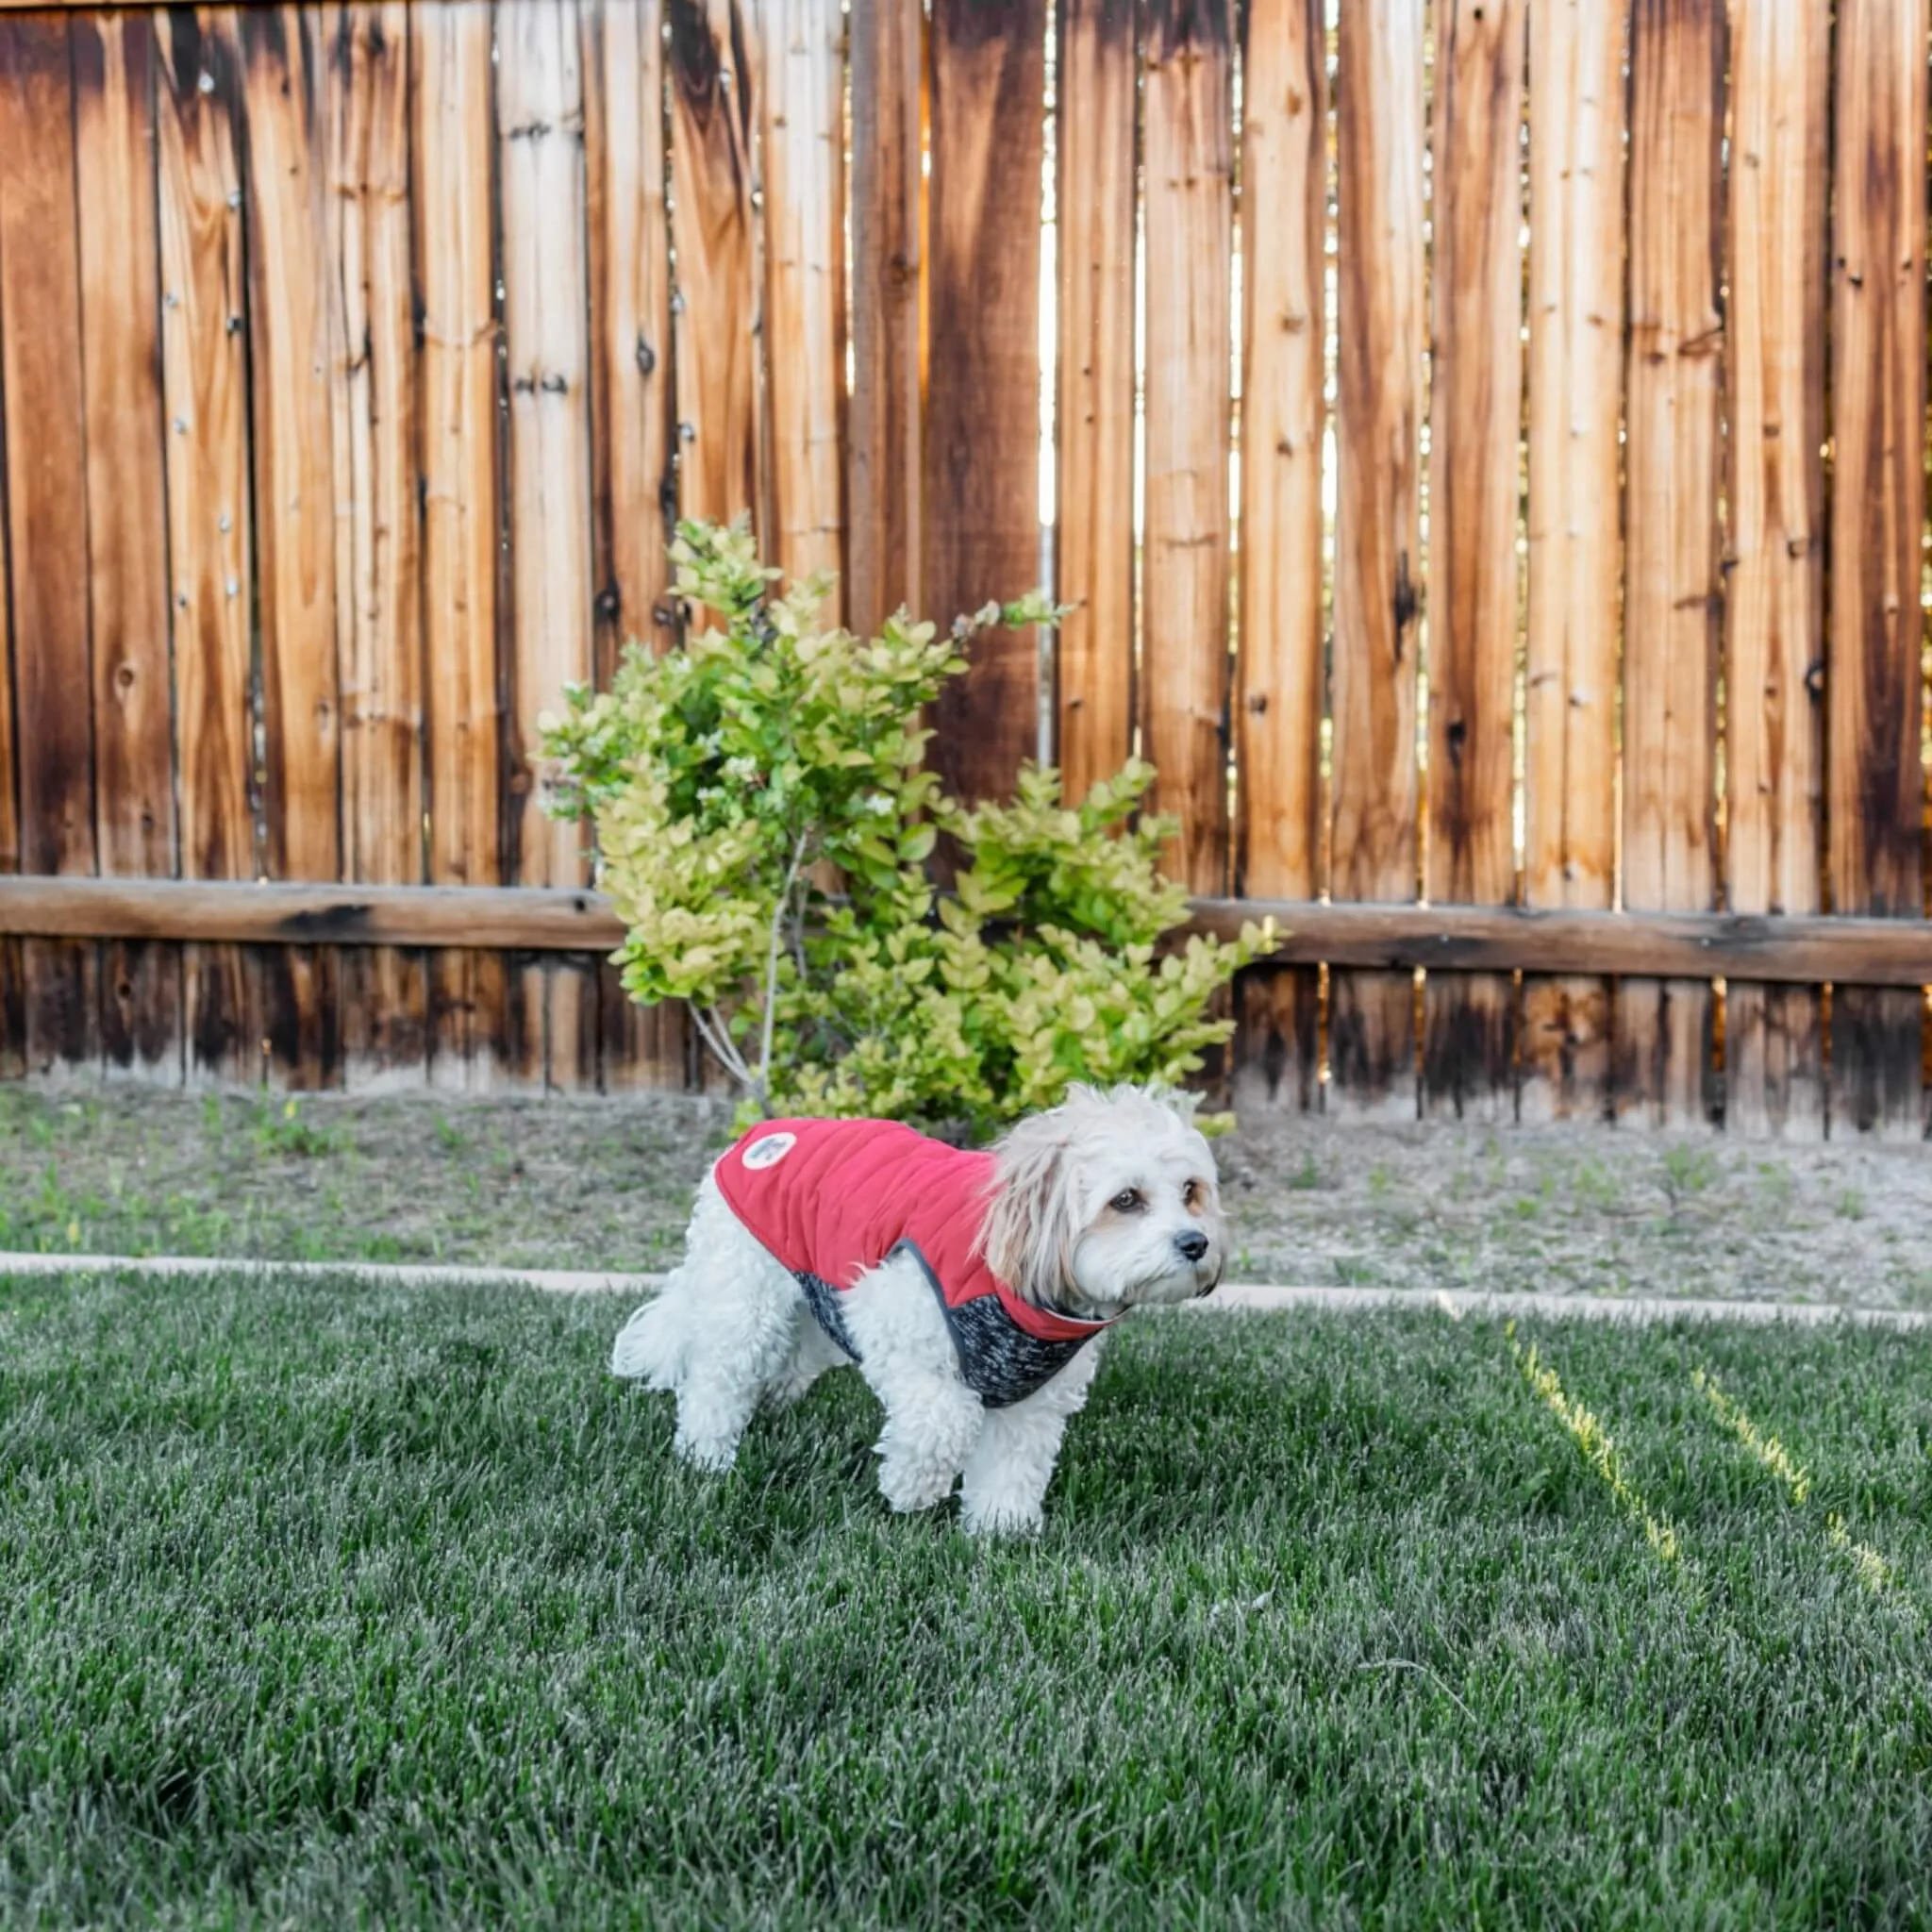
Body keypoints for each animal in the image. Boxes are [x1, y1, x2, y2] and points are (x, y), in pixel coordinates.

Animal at [610, 1081, 1228, 1530]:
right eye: (1126, 1199)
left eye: (1191, 1191)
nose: (1196, 1243)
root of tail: (757, 1135)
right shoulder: (888, 1316)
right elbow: (945, 1419)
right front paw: (911, 1489)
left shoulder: (1033, 1398)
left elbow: (1012, 1466)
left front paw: (999, 1531)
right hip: (746, 1300)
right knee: (715, 1380)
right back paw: (707, 1457)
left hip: (813, 1305)